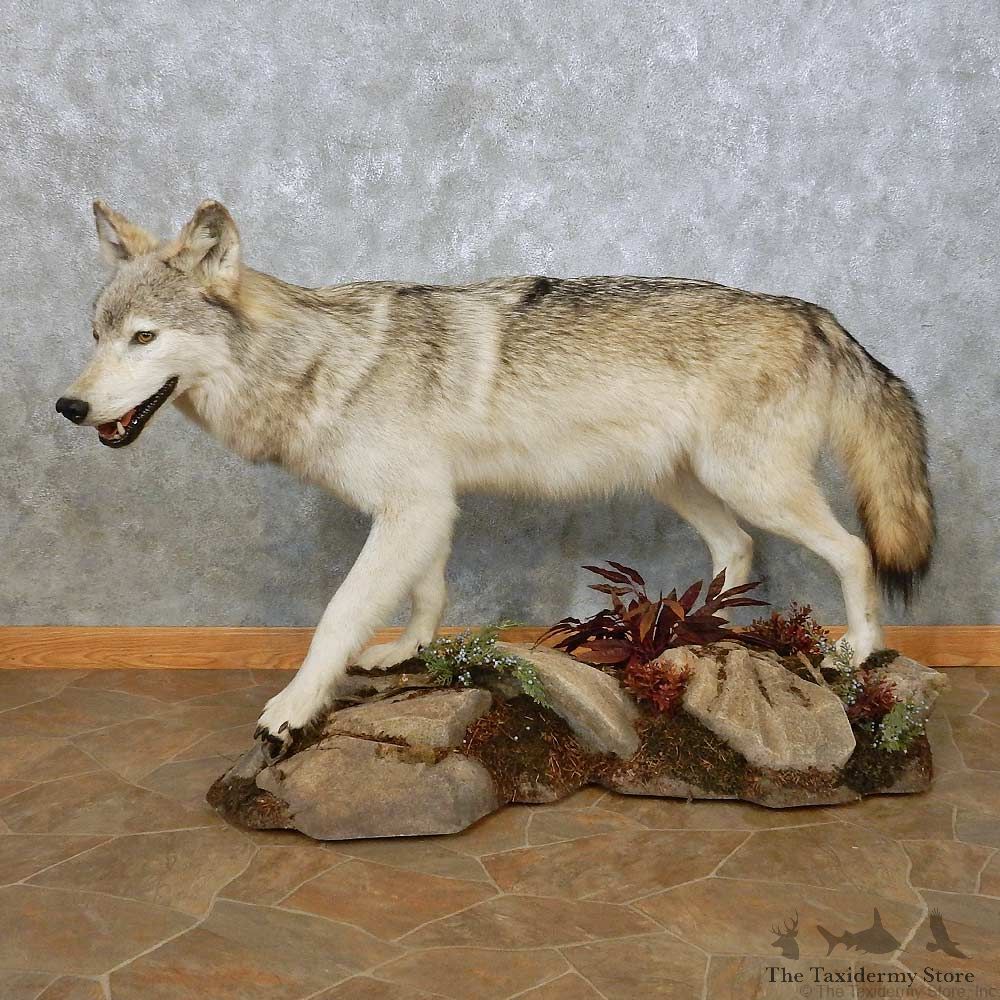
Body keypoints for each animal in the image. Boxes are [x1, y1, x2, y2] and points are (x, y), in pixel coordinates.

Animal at [57, 199, 934, 757]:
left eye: (144, 338)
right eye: (97, 335)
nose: (68, 406)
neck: (316, 361)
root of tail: (815, 313)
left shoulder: (411, 507)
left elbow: (337, 618)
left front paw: (292, 710)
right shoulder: (425, 507)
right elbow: (427, 594)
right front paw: (406, 653)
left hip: (753, 485)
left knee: (854, 551)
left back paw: (858, 649)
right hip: (689, 486)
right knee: (739, 552)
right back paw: (694, 639)